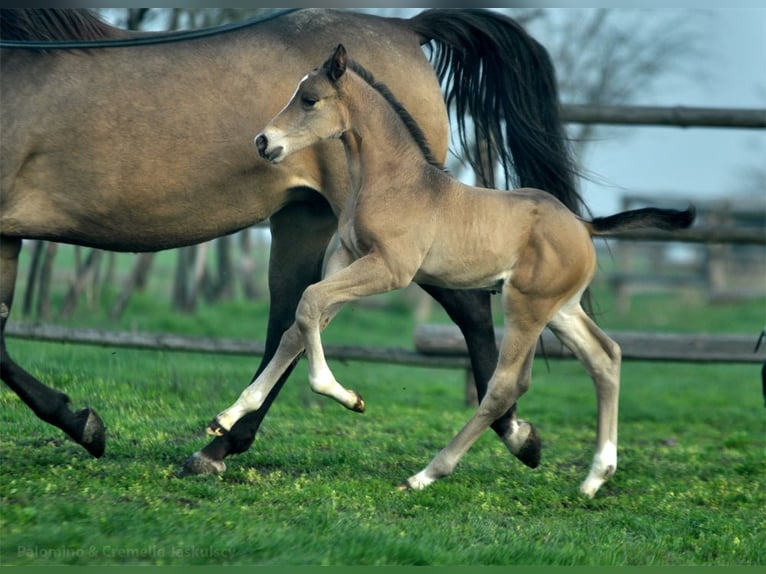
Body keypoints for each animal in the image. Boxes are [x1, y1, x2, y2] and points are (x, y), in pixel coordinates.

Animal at [0, 8, 582, 475]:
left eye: (308, 98)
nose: (262, 140)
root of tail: (404, 27)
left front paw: (84, 425)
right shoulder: (6, 237)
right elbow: (2, 334)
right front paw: (85, 423)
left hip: (389, 246)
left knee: (465, 308)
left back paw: (516, 434)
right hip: (308, 223)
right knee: (294, 320)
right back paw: (220, 444)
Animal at [208, 45, 696, 497]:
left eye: (309, 99)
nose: (263, 142)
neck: (395, 183)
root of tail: (583, 224)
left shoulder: (389, 269)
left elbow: (307, 304)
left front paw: (344, 396)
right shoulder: (346, 260)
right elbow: (298, 326)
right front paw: (226, 417)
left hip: (527, 307)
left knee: (505, 386)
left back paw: (426, 474)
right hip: (561, 309)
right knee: (605, 357)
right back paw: (594, 478)